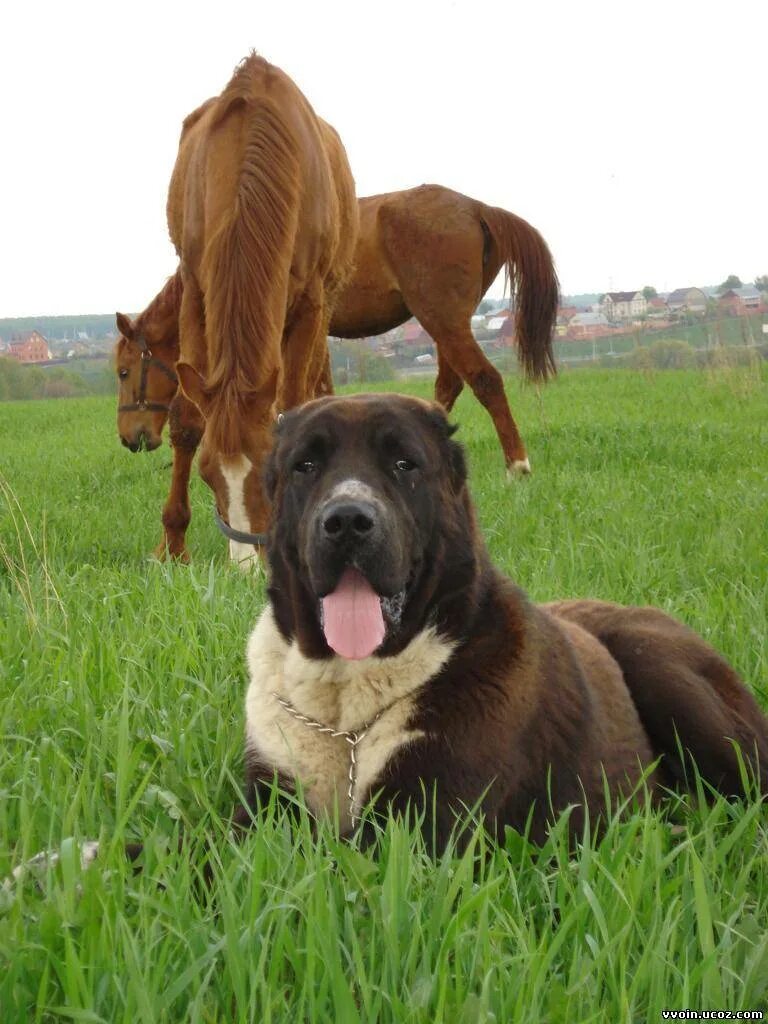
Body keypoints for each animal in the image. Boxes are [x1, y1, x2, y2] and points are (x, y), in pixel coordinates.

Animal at [115, 186, 561, 561]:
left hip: (444, 319)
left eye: (122, 372)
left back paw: (516, 466)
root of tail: (477, 207)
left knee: (485, 380)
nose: (130, 437)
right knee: (449, 384)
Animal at [156, 51, 360, 565]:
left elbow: (295, 404)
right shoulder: (195, 290)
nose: (246, 569)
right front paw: (173, 545)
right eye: (208, 474)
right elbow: (187, 419)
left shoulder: (311, 304)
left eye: (275, 474)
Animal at [240, 391, 768, 847]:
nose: (348, 520)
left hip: (664, 673)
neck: (347, 714)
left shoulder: (420, 826)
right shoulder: (261, 809)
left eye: (404, 464)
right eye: (306, 466)